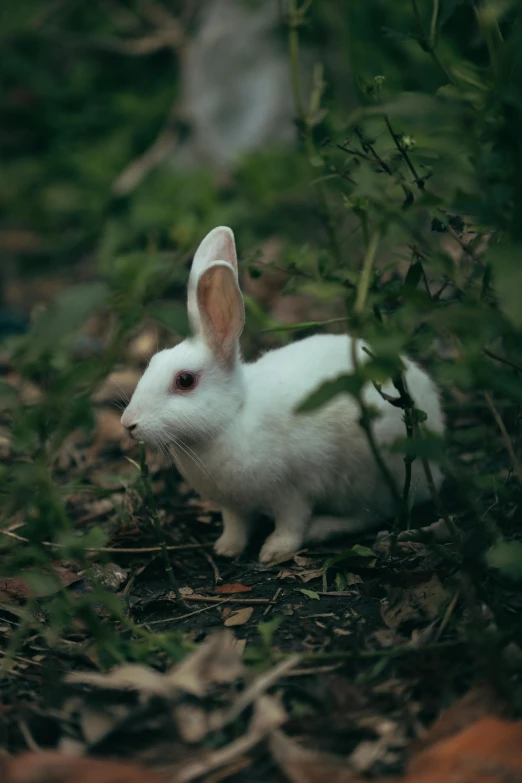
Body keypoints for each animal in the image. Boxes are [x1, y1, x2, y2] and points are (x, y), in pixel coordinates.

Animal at [121, 227, 442, 564]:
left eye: (185, 381)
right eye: (153, 361)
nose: (128, 424)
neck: (232, 418)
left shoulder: (293, 492)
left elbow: (292, 523)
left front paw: (274, 551)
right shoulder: (232, 505)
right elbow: (235, 525)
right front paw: (226, 548)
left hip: (370, 475)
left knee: (375, 513)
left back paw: (323, 528)